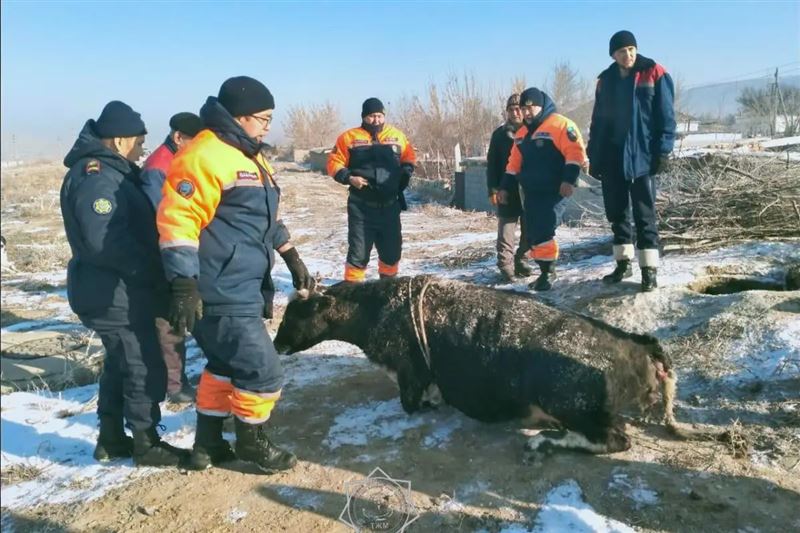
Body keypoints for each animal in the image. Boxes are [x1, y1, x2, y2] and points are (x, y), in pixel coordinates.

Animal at [276, 274, 688, 454]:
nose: (277, 344)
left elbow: (411, 403)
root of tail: (637, 343)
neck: (379, 307)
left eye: (297, 313)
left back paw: (544, 441)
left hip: (571, 404)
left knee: (614, 440)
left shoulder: (411, 372)